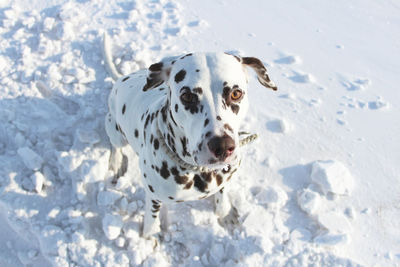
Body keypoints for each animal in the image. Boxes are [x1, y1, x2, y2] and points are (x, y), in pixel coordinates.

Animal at [104, 34, 276, 238]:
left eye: (236, 93)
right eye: (187, 97)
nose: (222, 147)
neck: (197, 172)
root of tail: (120, 79)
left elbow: (222, 191)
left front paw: (225, 212)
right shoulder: (153, 194)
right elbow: (152, 216)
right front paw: (149, 235)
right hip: (114, 128)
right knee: (115, 146)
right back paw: (115, 164)